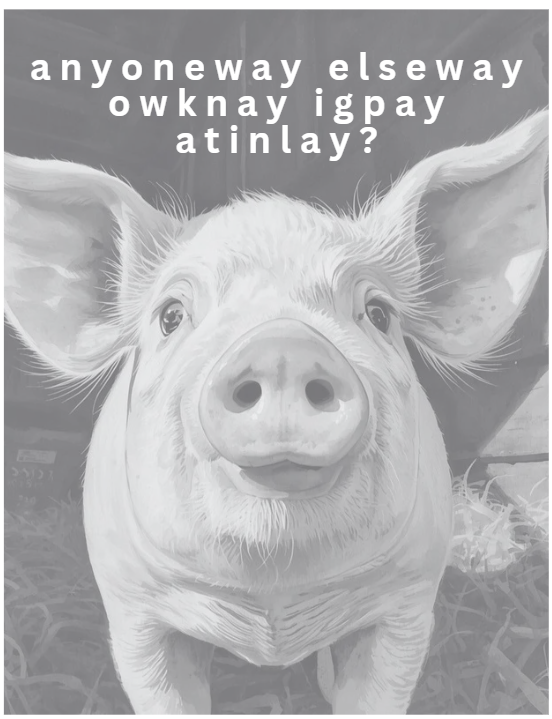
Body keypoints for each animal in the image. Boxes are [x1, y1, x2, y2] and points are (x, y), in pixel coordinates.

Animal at [4, 110, 548, 714]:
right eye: (170, 316)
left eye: (379, 313)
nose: (284, 347)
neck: (274, 594)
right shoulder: (131, 607)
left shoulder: (409, 601)